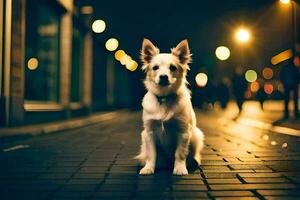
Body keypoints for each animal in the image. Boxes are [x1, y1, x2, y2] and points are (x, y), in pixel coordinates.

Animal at [135, 38, 204, 175]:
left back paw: (194, 161)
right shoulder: (149, 133)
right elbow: (152, 154)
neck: (164, 98)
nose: (163, 76)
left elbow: (180, 153)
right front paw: (148, 168)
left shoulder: (183, 132)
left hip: (196, 135)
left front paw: (180, 168)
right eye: (155, 68)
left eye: (172, 68)